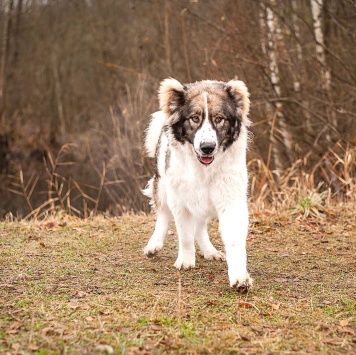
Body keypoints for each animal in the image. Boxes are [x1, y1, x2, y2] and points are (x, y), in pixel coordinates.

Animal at [143, 78, 253, 292]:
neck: (204, 170)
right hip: (163, 185)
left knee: (200, 227)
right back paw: (154, 244)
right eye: (195, 118)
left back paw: (209, 251)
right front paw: (186, 260)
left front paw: (239, 277)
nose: (207, 147)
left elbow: (234, 241)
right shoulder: (179, 200)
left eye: (219, 119)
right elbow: (185, 234)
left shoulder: (231, 200)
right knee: (163, 215)